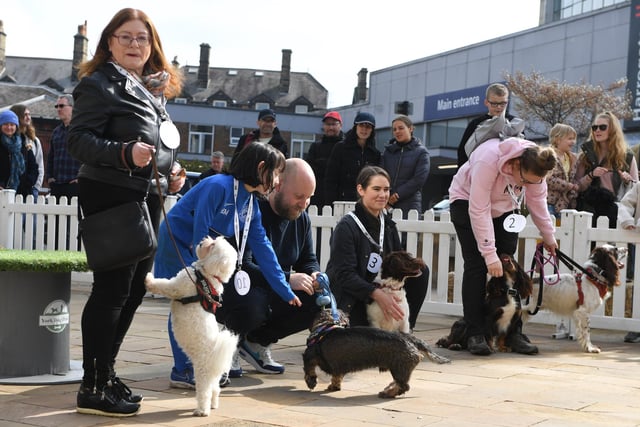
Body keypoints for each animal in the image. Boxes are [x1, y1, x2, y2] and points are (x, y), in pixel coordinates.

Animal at [145, 236, 240, 416]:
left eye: (212, 246)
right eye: (213, 240)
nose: (204, 240)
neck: (207, 276)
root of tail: (215, 357)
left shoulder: (177, 286)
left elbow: (163, 284)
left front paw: (149, 279)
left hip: (202, 374)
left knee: (204, 393)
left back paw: (202, 411)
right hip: (212, 378)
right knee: (215, 390)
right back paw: (214, 405)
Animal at [304, 310, 450, 400]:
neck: (325, 327)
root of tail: (411, 339)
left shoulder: (310, 355)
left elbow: (308, 370)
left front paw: (311, 382)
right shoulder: (339, 366)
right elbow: (336, 376)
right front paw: (334, 387)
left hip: (399, 367)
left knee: (404, 386)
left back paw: (388, 393)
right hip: (400, 368)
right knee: (400, 383)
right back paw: (388, 389)